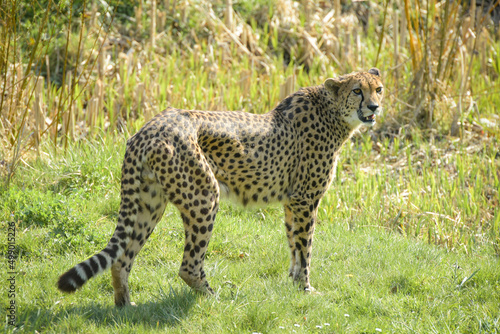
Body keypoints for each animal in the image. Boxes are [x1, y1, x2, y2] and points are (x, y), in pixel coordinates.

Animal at [57, 67, 382, 306]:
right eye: (357, 90)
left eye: (378, 88)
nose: (375, 106)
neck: (333, 112)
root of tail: (148, 128)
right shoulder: (305, 199)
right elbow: (305, 247)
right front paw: (305, 288)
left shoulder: (292, 201)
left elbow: (293, 243)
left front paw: (293, 283)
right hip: (203, 196)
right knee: (188, 265)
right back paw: (215, 298)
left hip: (149, 201)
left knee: (122, 257)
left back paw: (125, 305)